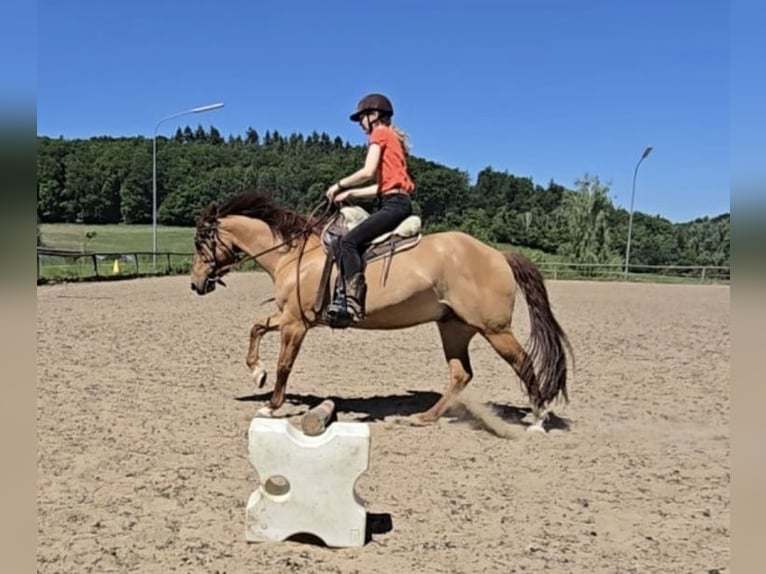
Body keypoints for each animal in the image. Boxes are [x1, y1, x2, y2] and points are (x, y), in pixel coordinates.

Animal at [189, 190, 573, 431]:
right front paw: (257, 373)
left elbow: (285, 364)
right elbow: (255, 328)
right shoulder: (290, 316)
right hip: (454, 327)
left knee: (523, 363)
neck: (296, 254)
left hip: (494, 329)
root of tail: (498, 255)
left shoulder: (296, 324)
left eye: (200, 242)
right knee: (460, 374)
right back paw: (425, 417)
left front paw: (271, 404)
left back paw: (538, 419)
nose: (195, 283)